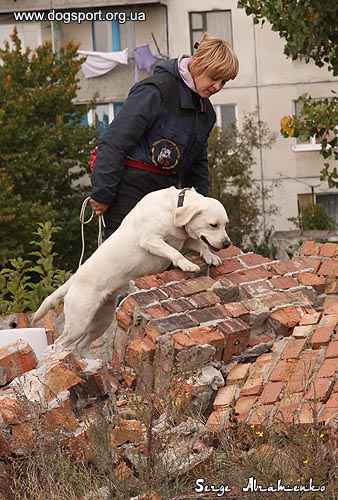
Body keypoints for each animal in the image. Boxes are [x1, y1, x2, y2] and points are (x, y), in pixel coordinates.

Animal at [33, 188, 231, 356]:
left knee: (80, 345)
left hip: (101, 321)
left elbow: (200, 244)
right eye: (213, 225)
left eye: (225, 225)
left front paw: (211, 256)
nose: (227, 244)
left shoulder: (182, 239)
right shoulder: (151, 239)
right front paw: (187, 264)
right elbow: (174, 252)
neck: (173, 209)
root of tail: (74, 279)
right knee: (59, 344)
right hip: (78, 323)